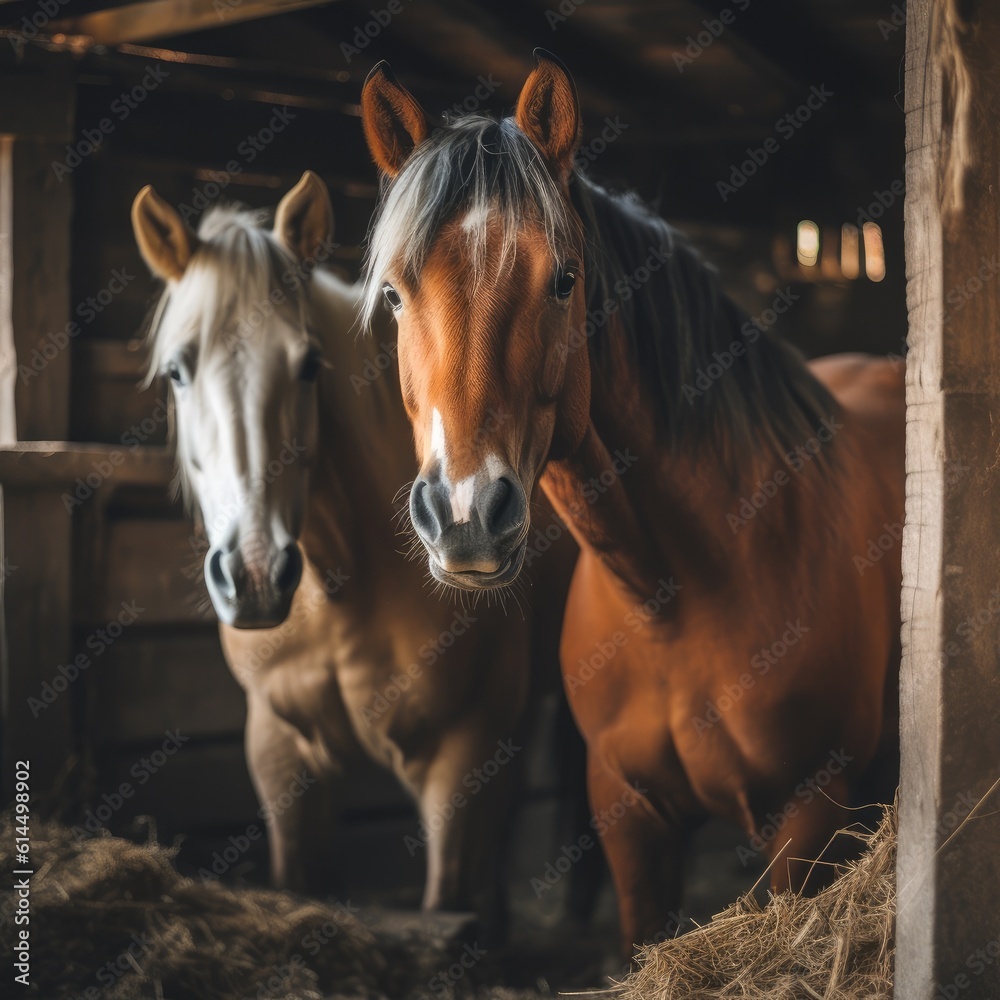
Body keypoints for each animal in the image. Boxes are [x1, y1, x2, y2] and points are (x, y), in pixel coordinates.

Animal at [360, 54, 908, 952]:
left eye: (563, 280)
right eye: (398, 295)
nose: (467, 518)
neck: (681, 597)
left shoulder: (809, 818)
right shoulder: (630, 820)